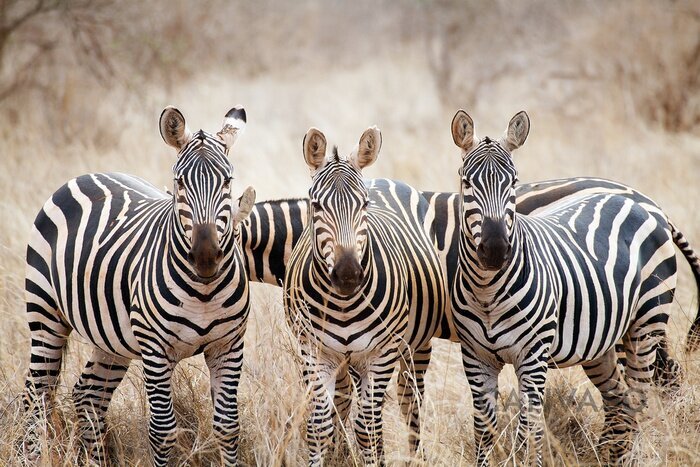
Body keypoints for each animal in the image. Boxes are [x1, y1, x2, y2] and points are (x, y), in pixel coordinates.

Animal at [21, 107, 258, 467]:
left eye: (228, 181)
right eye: (179, 183)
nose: (205, 258)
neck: (203, 294)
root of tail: (87, 174)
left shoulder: (228, 345)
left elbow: (228, 427)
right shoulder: (155, 349)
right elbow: (162, 432)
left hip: (110, 338)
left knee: (87, 396)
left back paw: (97, 461)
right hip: (45, 314)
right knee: (37, 394)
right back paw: (34, 456)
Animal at [282, 127, 446, 464]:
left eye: (364, 205)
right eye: (316, 206)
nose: (348, 274)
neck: (343, 304)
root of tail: (383, 179)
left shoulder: (381, 353)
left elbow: (367, 426)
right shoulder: (315, 352)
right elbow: (319, 425)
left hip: (416, 347)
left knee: (410, 402)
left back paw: (416, 456)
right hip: (352, 362)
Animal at [448, 109, 684, 464]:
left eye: (514, 182)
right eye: (466, 183)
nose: (495, 250)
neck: (487, 292)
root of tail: (644, 203)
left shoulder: (533, 356)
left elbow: (528, 430)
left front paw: (528, 462)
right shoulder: (476, 358)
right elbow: (483, 432)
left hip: (647, 323)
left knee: (638, 397)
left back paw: (626, 456)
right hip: (602, 341)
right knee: (618, 396)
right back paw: (608, 455)